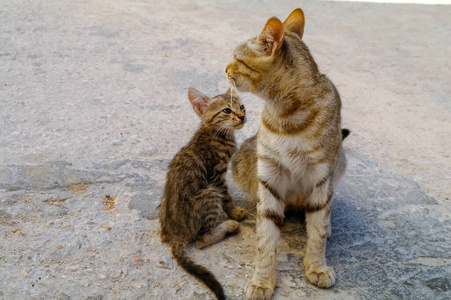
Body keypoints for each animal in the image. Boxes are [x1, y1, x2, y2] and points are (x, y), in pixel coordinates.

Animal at [161, 86, 247, 300]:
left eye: (242, 107)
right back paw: (229, 226)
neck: (214, 132)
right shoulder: (216, 176)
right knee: (201, 240)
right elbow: (227, 197)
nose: (243, 116)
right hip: (209, 194)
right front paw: (235, 213)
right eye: (227, 110)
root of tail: (175, 234)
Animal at [228, 8, 352, 298]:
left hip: (339, 163)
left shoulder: (322, 176)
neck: (285, 114)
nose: (225, 68)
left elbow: (317, 232)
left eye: (236, 58)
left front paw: (317, 265)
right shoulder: (269, 173)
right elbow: (265, 237)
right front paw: (262, 279)